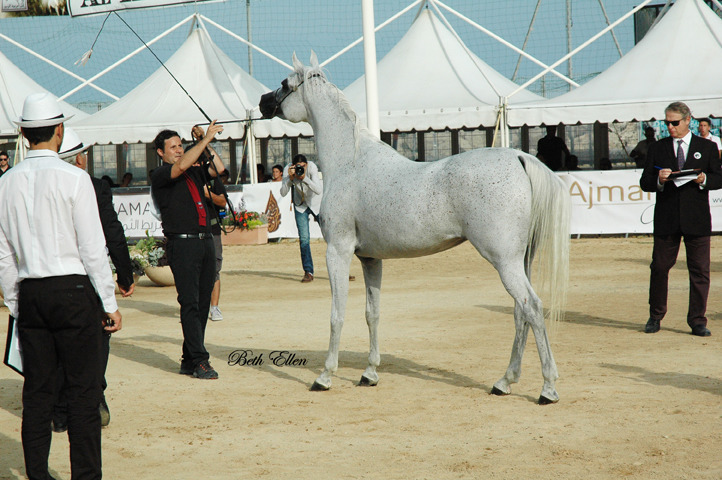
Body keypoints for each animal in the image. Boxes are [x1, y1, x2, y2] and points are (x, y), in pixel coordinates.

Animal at [259, 53, 570, 404]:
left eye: (284, 84)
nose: (262, 102)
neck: (351, 162)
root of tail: (518, 158)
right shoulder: (370, 259)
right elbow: (372, 313)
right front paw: (369, 374)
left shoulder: (338, 252)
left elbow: (337, 315)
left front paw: (324, 376)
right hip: (520, 261)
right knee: (521, 313)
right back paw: (504, 382)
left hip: (505, 261)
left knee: (532, 307)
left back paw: (547, 389)